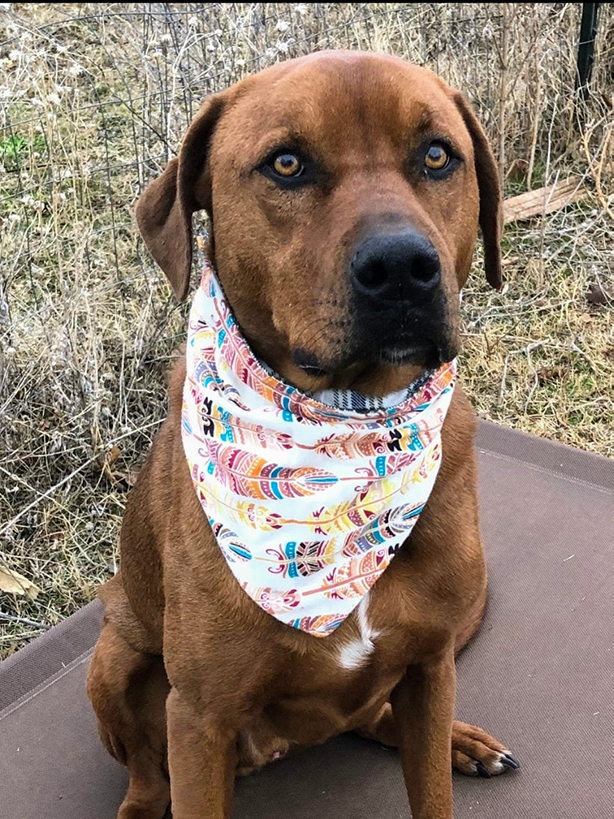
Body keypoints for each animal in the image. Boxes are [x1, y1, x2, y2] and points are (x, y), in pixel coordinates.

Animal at [86, 52, 520, 819]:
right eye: (286, 163)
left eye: (438, 155)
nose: (401, 266)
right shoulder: (196, 718)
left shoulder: (431, 664)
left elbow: (429, 785)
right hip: (114, 651)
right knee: (144, 770)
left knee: (380, 718)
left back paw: (458, 741)